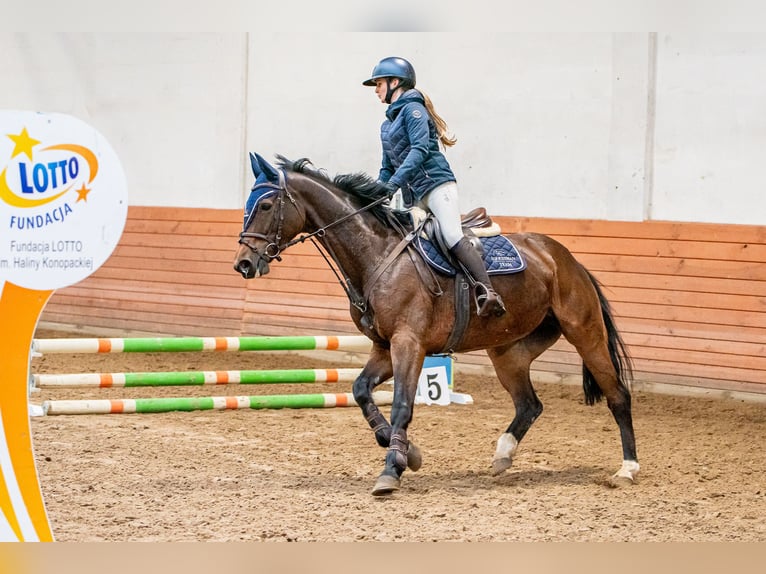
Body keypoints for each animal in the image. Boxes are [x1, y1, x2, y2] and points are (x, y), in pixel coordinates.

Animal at [234, 152, 640, 496]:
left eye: (266, 205)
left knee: (617, 395)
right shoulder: (384, 347)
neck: (377, 254)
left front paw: (392, 470)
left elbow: (401, 404)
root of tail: (565, 258)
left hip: (585, 333)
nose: (243, 263)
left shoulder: (408, 344)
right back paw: (502, 455)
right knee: (529, 405)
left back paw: (627, 469)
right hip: (508, 350)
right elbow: (362, 390)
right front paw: (403, 450)